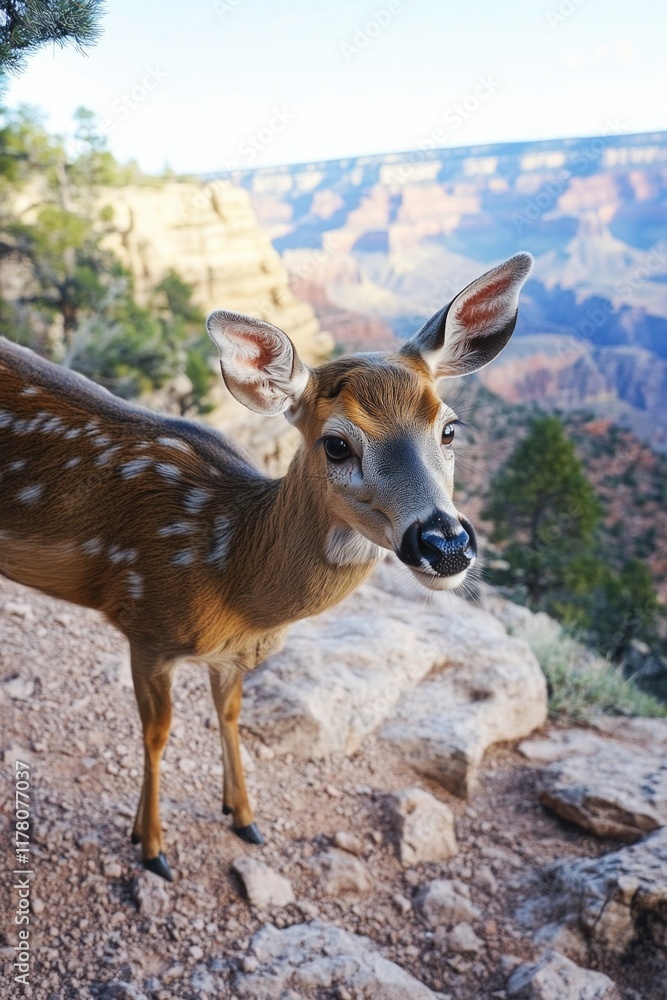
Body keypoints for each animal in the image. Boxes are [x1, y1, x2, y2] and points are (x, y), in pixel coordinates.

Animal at [0, 252, 532, 881]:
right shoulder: (147, 624)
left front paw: (243, 816)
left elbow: (229, 714)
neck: (228, 567)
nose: (445, 543)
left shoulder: (231, 653)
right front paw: (151, 846)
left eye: (450, 428)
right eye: (336, 444)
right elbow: (157, 734)